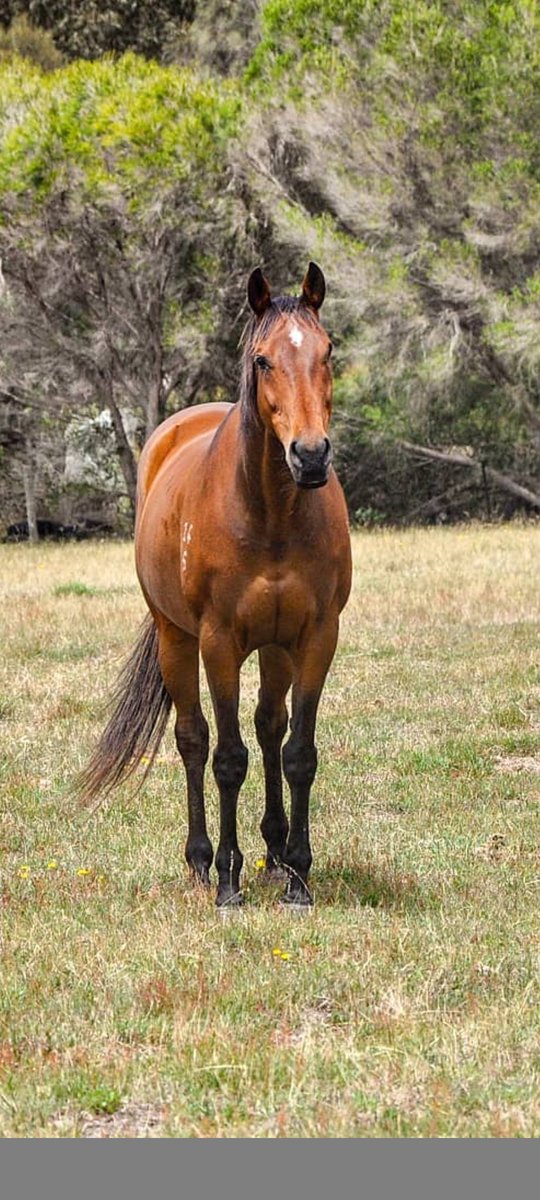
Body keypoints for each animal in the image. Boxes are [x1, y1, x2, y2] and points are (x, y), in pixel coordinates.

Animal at [80, 262, 352, 907]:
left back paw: (275, 854)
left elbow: (298, 753)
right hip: (176, 638)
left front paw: (298, 876)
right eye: (262, 359)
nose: (310, 456)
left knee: (270, 727)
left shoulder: (316, 637)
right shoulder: (219, 642)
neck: (271, 514)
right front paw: (230, 878)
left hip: (275, 648)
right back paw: (202, 862)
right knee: (193, 739)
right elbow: (228, 757)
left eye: (328, 351)